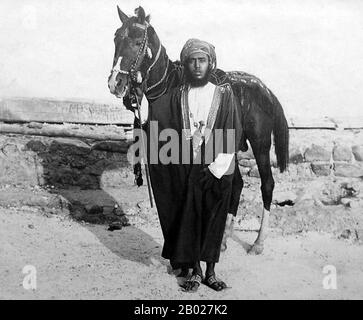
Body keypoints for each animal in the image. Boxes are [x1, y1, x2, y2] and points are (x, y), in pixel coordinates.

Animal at [107, 5, 290, 255]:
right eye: (116, 38)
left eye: (136, 41)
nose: (115, 83)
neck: (169, 87)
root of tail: (266, 90)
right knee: (237, 183)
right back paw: (223, 238)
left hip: (260, 144)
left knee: (267, 184)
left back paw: (258, 242)